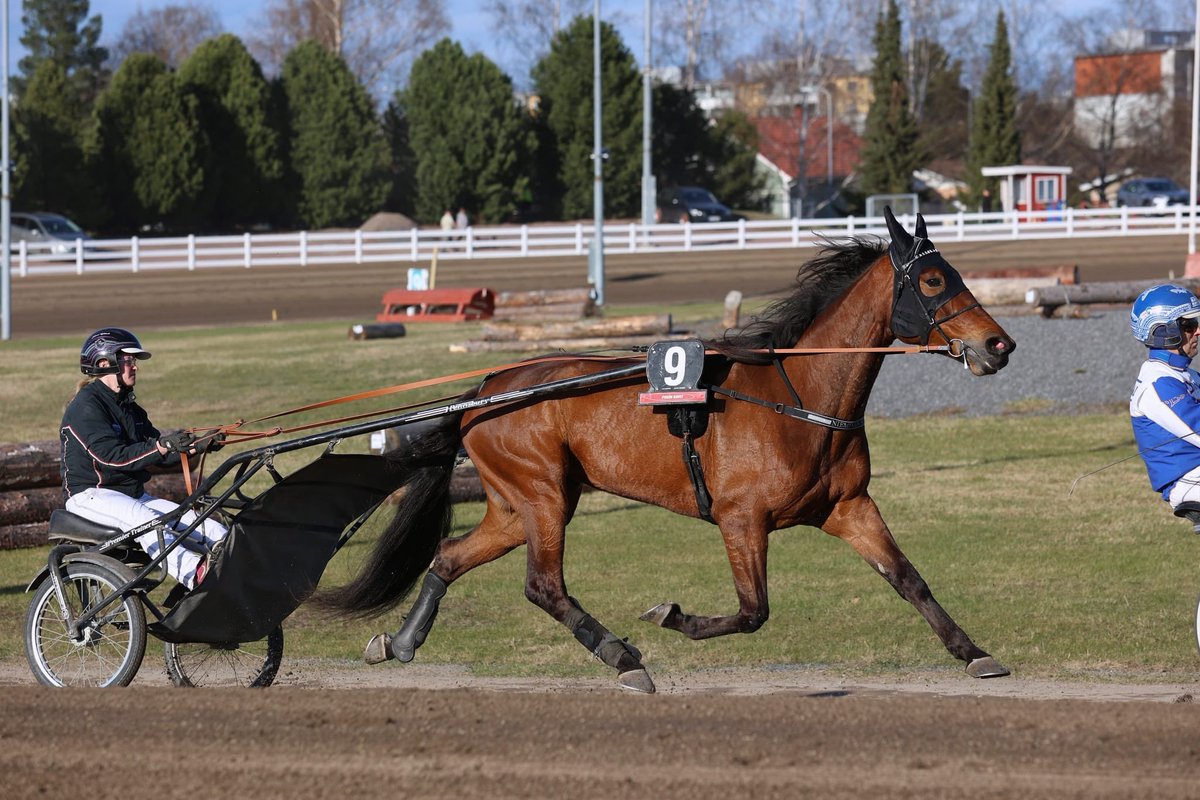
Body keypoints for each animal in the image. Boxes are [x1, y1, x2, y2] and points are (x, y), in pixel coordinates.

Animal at [319, 209, 1012, 690]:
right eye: (932, 279)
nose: (999, 344)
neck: (800, 397)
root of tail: (485, 391)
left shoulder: (849, 507)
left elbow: (909, 579)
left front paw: (975, 653)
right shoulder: (741, 518)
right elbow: (753, 611)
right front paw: (672, 616)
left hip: (519, 505)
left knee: (450, 556)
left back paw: (401, 642)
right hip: (542, 496)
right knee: (544, 585)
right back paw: (621, 657)